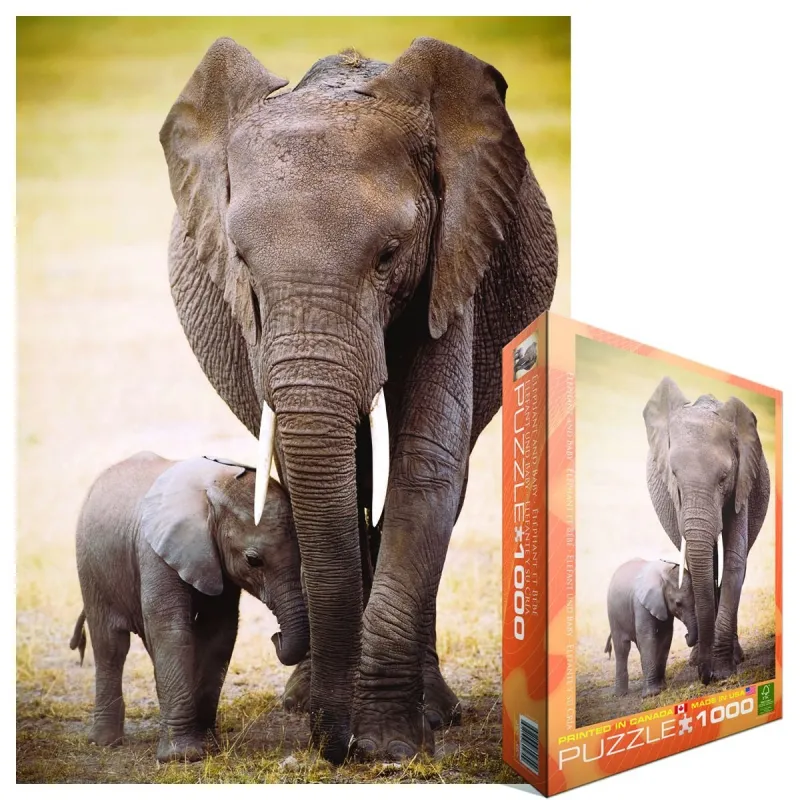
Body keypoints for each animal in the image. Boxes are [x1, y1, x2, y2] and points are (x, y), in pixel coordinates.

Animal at [71, 451, 307, 762]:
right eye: (253, 560)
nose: (276, 636)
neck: (214, 489)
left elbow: (219, 631)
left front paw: (208, 745)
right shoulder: (155, 552)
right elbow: (172, 630)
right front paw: (182, 757)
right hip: (90, 567)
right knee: (110, 645)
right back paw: (105, 742)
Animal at [159, 37, 557, 762]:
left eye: (390, 254)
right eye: (241, 259)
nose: (331, 744)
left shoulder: (452, 260)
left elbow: (426, 463)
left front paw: (389, 746)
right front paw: (348, 725)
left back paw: (433, 712)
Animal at [605, 559, 699, 697]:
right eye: (678, 603)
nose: (686, 635)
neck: (663, 572)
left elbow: (665, 637)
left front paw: (662, 687)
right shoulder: (640, 604)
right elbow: (647, 638)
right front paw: (651, 694)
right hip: (613, 614)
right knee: (622, 648)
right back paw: (621, 694)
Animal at [644, 377, 770, 685]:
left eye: (724, 478)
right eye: (674, 475)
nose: (705, 676)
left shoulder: (742, 482)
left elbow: (735, 559)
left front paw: (723, 670)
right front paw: (708, 664)